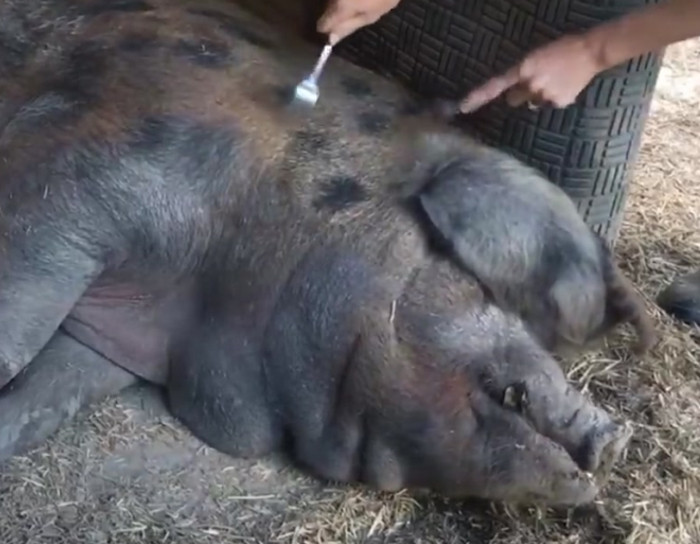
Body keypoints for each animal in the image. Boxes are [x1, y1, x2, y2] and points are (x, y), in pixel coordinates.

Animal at [0, 0, 633, 506]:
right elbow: (17, 334)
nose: (614, 433)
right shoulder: (84, 176)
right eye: (477, 288)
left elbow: (45, 399)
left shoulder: (113, 345)